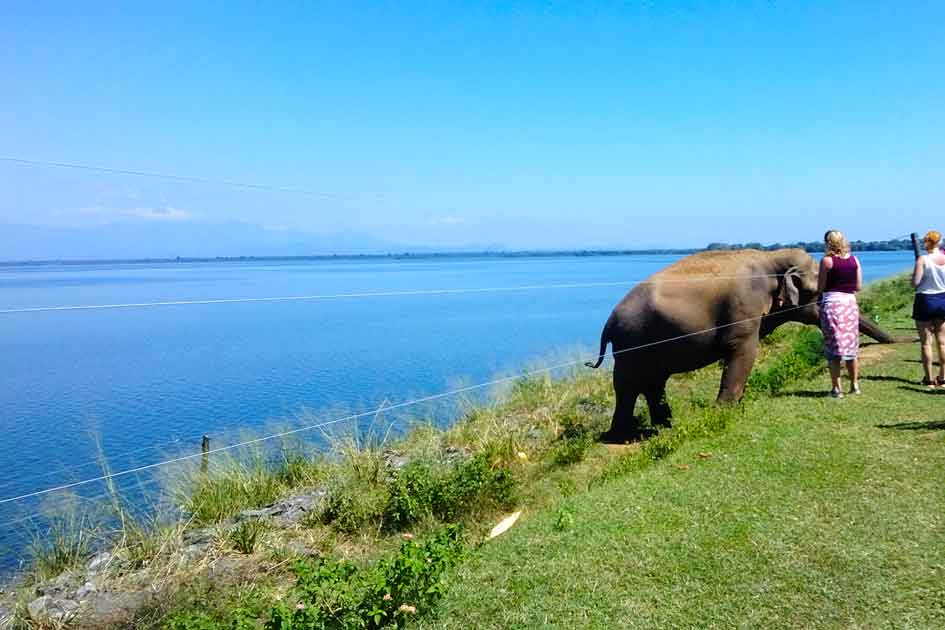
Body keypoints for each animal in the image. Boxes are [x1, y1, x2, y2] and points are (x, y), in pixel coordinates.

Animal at [585, 248, 894, 441]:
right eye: (819, 293)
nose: (897, 340)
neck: (772, 258)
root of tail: (608, 323)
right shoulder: (744, 307)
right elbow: (743, 349)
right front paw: (722, 413)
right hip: (630, 345)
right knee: (629, 386)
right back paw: (622, 437)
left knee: (653, 384)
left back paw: (664, 426)